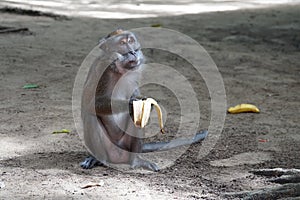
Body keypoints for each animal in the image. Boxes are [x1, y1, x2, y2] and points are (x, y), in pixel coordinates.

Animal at [79, 28, 209, 171]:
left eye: (131, 41)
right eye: (122, 43)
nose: (133, 51)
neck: (120, 71)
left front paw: (143, 103)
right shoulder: (102, 69)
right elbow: (91, 104)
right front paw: (131, 104)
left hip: (125, 146)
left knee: (136, 119)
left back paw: (135, 160)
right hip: (108, 147)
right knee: (92, 116)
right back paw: (98, 158)